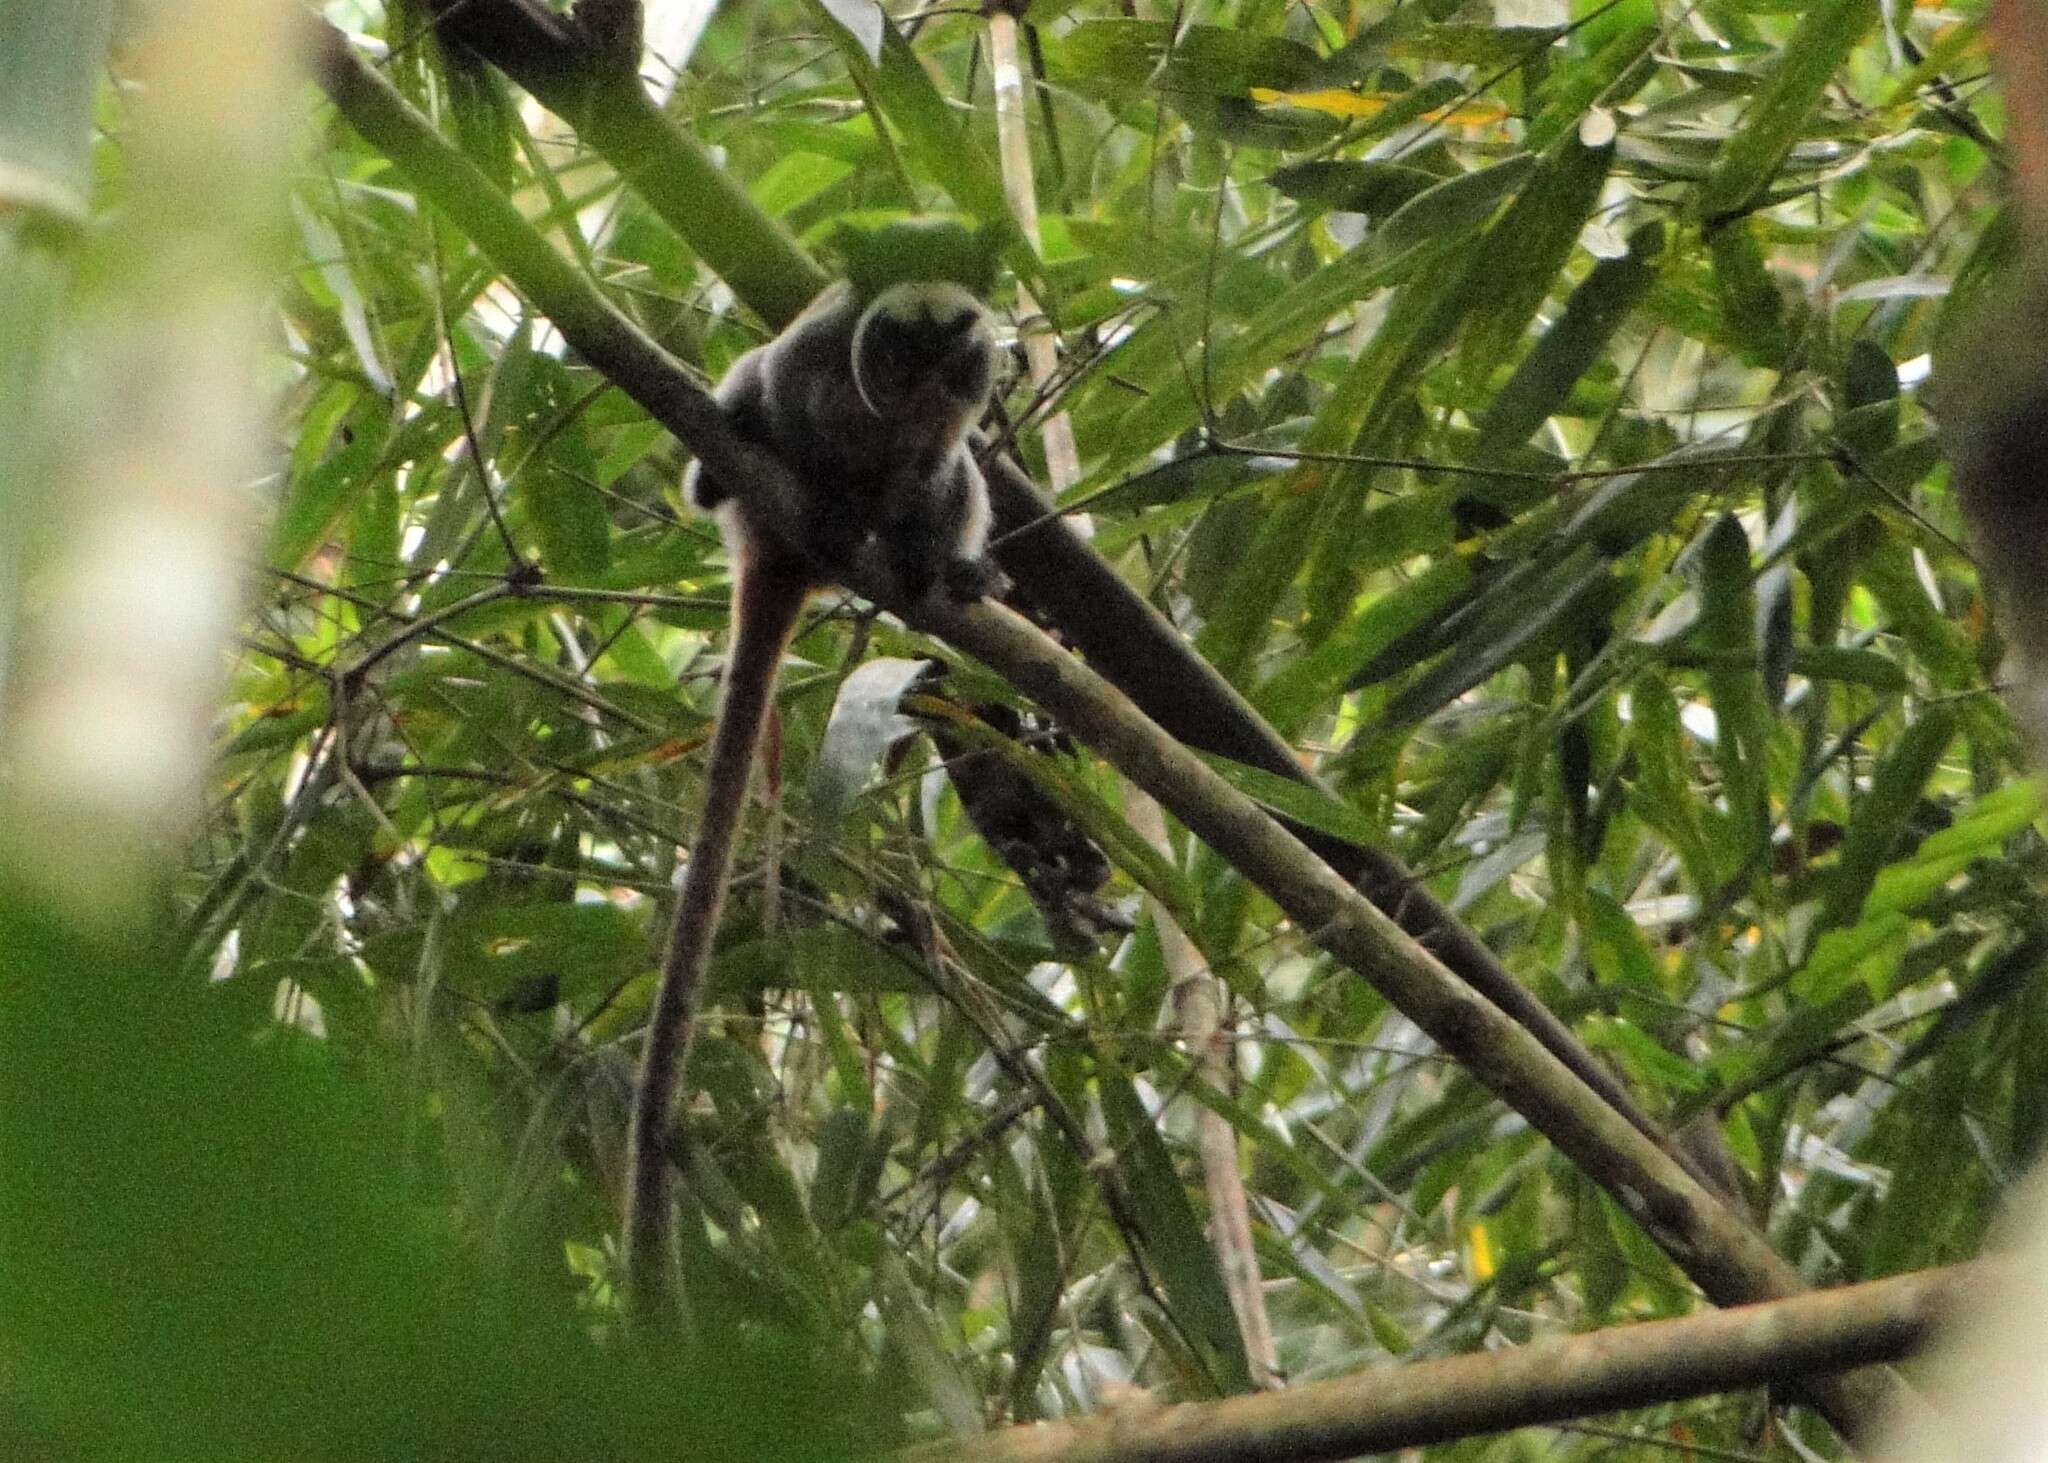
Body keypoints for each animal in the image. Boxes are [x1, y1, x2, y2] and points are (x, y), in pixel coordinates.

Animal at [622, 270, 1007, 1311]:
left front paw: (934, 530)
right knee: (751, 403)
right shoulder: (828, 341)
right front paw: (795, 448)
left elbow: (946, 465)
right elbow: (781, 375)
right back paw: (733, 477)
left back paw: (939, 563)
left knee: (951, 486)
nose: (925, 374)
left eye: (948, 357)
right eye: (899, 350)